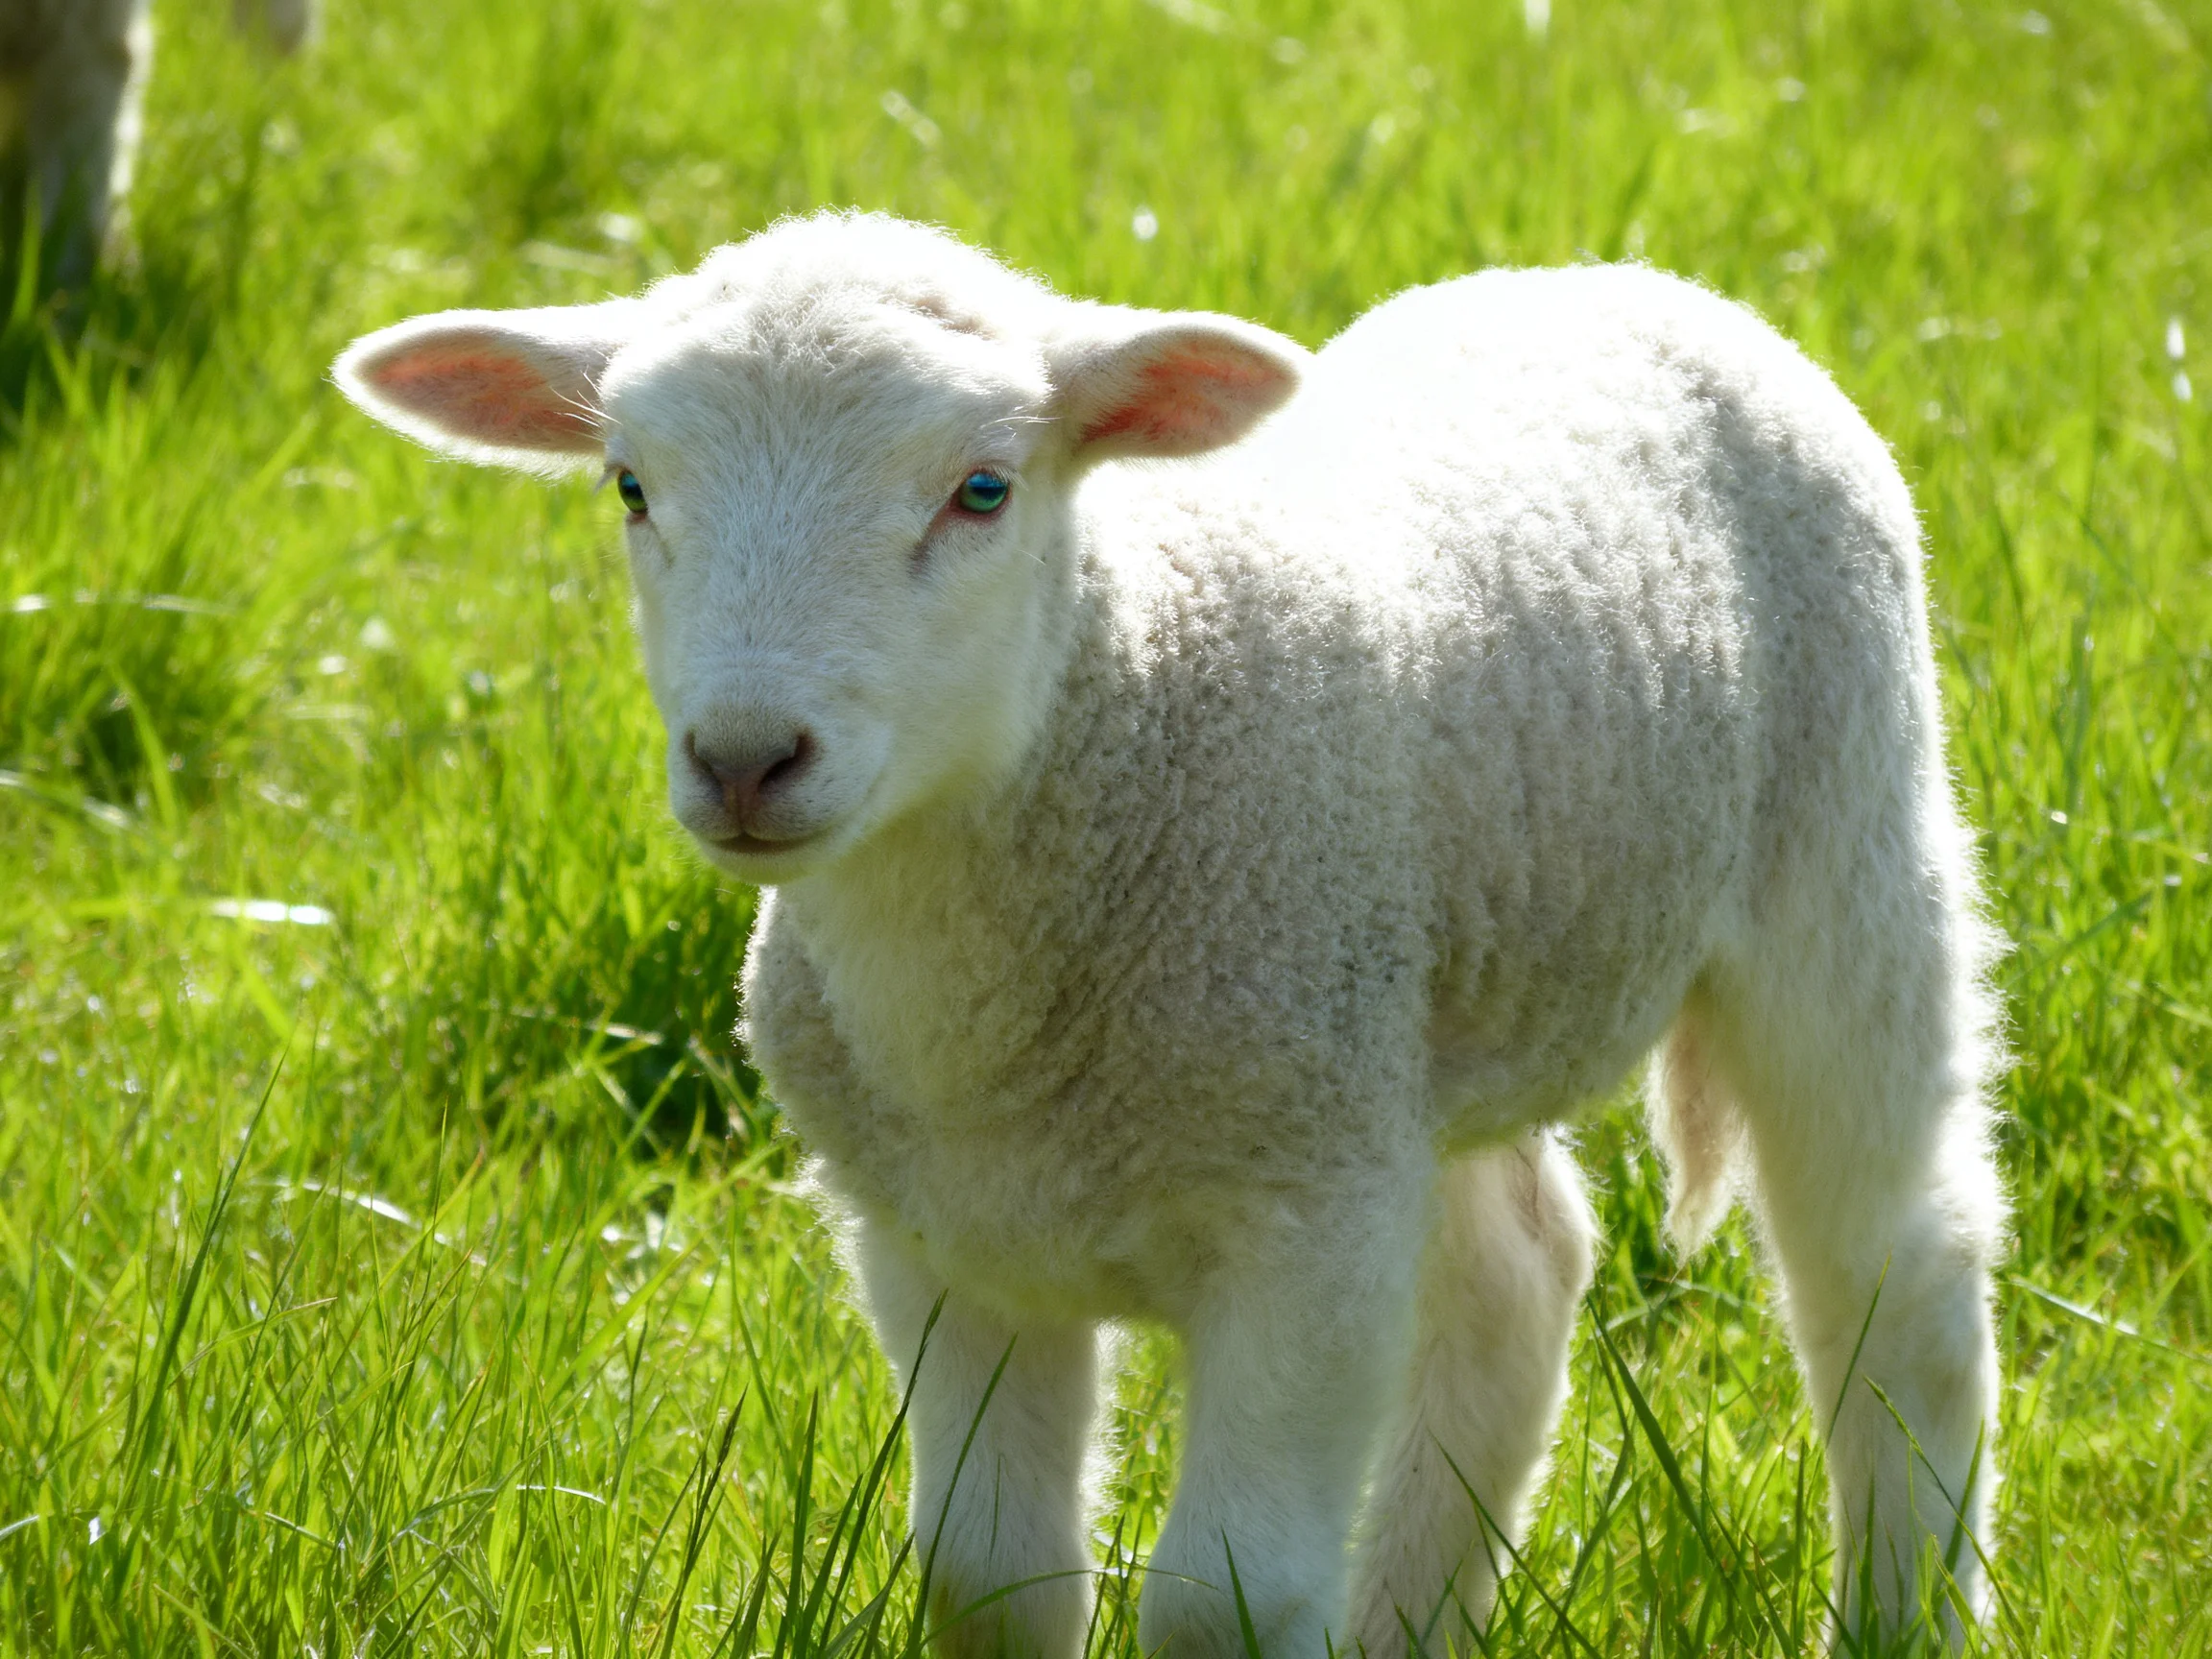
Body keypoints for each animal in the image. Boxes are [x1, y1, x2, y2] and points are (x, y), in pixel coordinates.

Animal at [334, 212, 2007, 1657]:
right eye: (629, 486)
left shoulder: (1300, 1228)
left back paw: (1905, 1606)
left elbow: (1227, 1603)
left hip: (1845, 847)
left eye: (984, 491)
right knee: (1519, 1274)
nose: (746, 760)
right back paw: (1407, 1627)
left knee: (1894, 1275)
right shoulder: (941, 1235)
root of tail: (1620, 277)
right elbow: (991, 1580)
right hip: (1413, 1028)